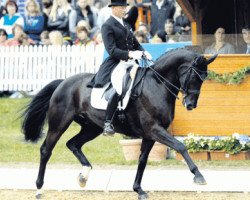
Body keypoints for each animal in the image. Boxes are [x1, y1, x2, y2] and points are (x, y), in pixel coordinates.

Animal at [21, 48, 217, 200]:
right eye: (194, 75)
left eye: (204, 77)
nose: (191, 104)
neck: (157, 84)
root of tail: (63, 82)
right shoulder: (154, 129)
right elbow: (180, 146)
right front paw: (199, 176)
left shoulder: (150, 134)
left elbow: (142, 160)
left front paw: (138, 190)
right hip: (59, 124)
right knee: (46, 150)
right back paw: (39, 189)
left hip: (92, 128)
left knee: (73, 144)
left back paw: (84, 176)